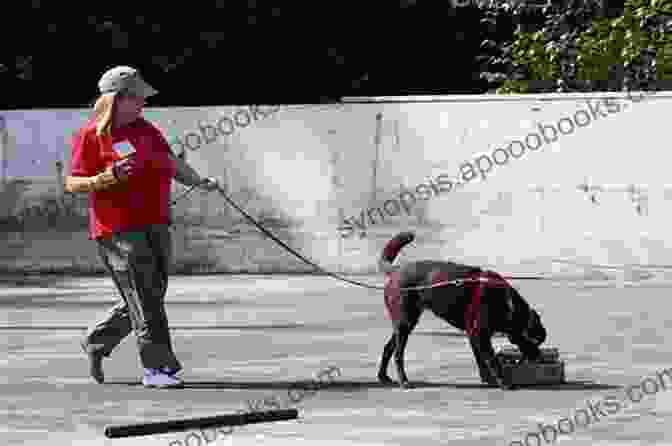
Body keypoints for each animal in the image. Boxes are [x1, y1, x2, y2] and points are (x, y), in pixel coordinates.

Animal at [378, 232, 544, 388]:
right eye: (535, 340)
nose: (539, 356)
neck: (507, 303)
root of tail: (396, 270)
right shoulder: (479, 335)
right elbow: (492, 361)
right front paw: (503, 382)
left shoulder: (474, 336)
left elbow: (481, 361)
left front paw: (489, 380)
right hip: (404, 324)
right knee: (398, 354)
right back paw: (403, 380)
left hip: (406, 323)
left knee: (388, 348)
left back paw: (383, 376)